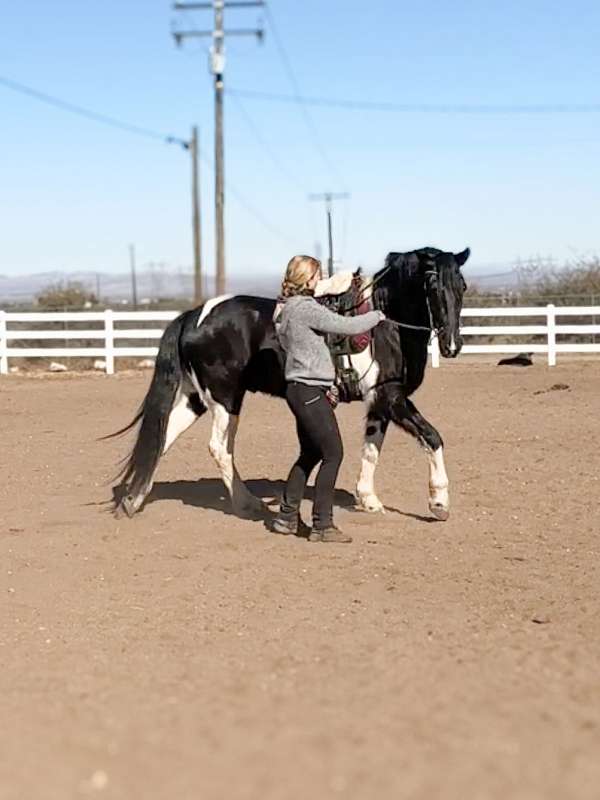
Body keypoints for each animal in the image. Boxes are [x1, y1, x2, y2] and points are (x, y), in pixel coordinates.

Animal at [111, 248, 468, 524]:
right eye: (433, 285)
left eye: (462, 286)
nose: (452, 344)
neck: (385, 327)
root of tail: (195, 315)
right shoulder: (392, 398)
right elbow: (432, 437)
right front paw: (439, 503)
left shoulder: (379, 401)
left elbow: (371, 449)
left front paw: (369, 499)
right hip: (226, 399)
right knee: (219, 448)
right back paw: (246, 503)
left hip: (195, 398)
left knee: (162, 437)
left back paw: (134, 499)